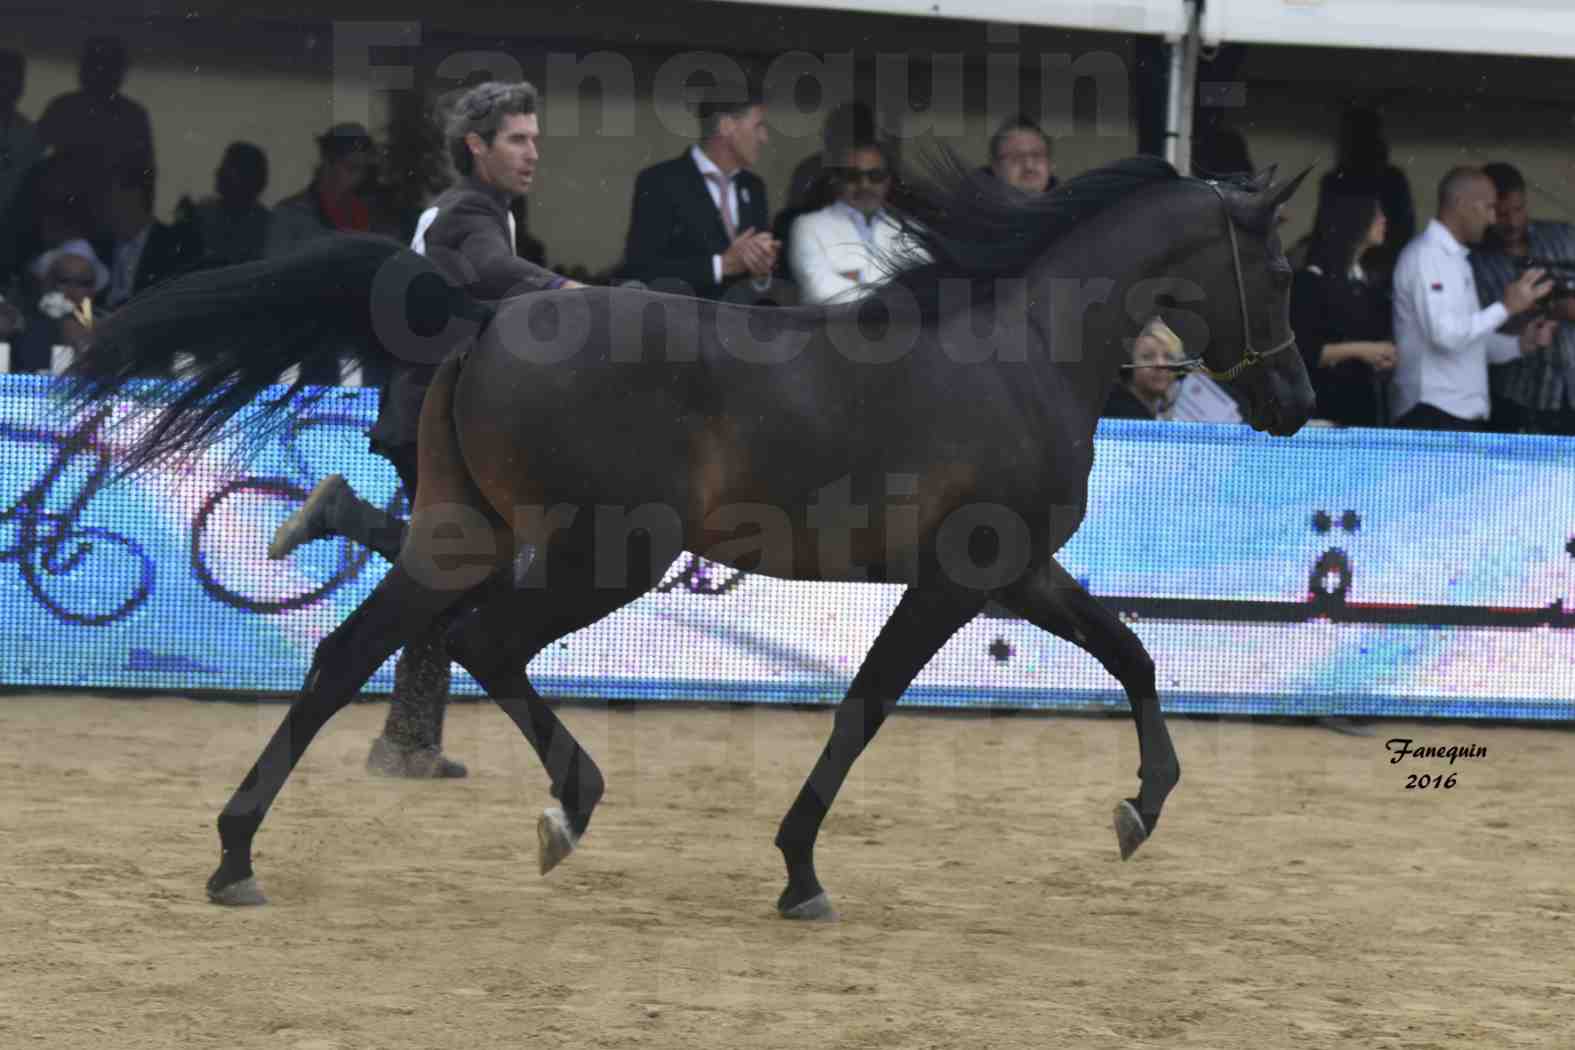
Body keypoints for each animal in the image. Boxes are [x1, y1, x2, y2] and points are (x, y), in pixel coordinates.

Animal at [61, 154, 1316, 919]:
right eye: (1280, 267)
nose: (1297, 401)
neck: (1018, 353)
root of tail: (490, 314)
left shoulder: (1018, 572)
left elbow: (1133, 653)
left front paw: (1140, 809)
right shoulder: (964, 578)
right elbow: (868, 706)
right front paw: (801, 870)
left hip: (466, 533)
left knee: (349, 655)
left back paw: (237, 855)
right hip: (611, 552)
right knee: (481, 645)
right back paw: (566, 810)